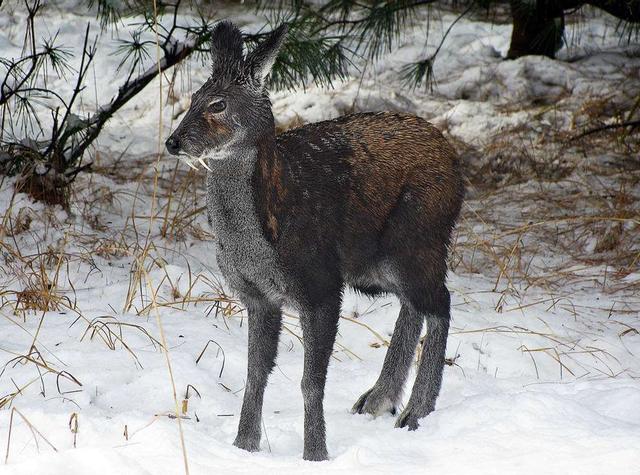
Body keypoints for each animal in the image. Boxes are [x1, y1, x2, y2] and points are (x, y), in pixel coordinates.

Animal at [165, 21, 464, 462]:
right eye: (192, 99)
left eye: (218, 104)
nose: (174, 142)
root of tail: (454, 160)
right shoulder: (258, 296)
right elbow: (255, 374)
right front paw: (243, 446)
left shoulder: (320, 284)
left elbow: (311, 381)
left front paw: (315, 454)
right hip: (373, 263)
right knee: (414, 304)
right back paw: (378, 399)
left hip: (418, 236)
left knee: (439, 302)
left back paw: (415, 411)